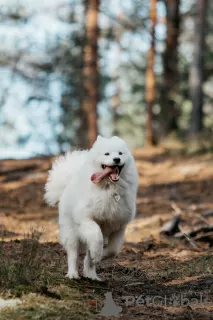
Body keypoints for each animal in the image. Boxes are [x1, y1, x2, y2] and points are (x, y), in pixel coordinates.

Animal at [44, 135, 138, 280]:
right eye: (107, 154)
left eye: (120, 153)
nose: (116, 159)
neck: (109, 188)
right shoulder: (87, 220)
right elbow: (96, 237)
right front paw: (97, 254)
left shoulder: (119, 226)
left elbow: (113, 250)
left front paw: (101, 255)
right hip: (71, 232)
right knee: (73, 254)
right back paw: (73, 274)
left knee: (88, 257)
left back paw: (91, 275)